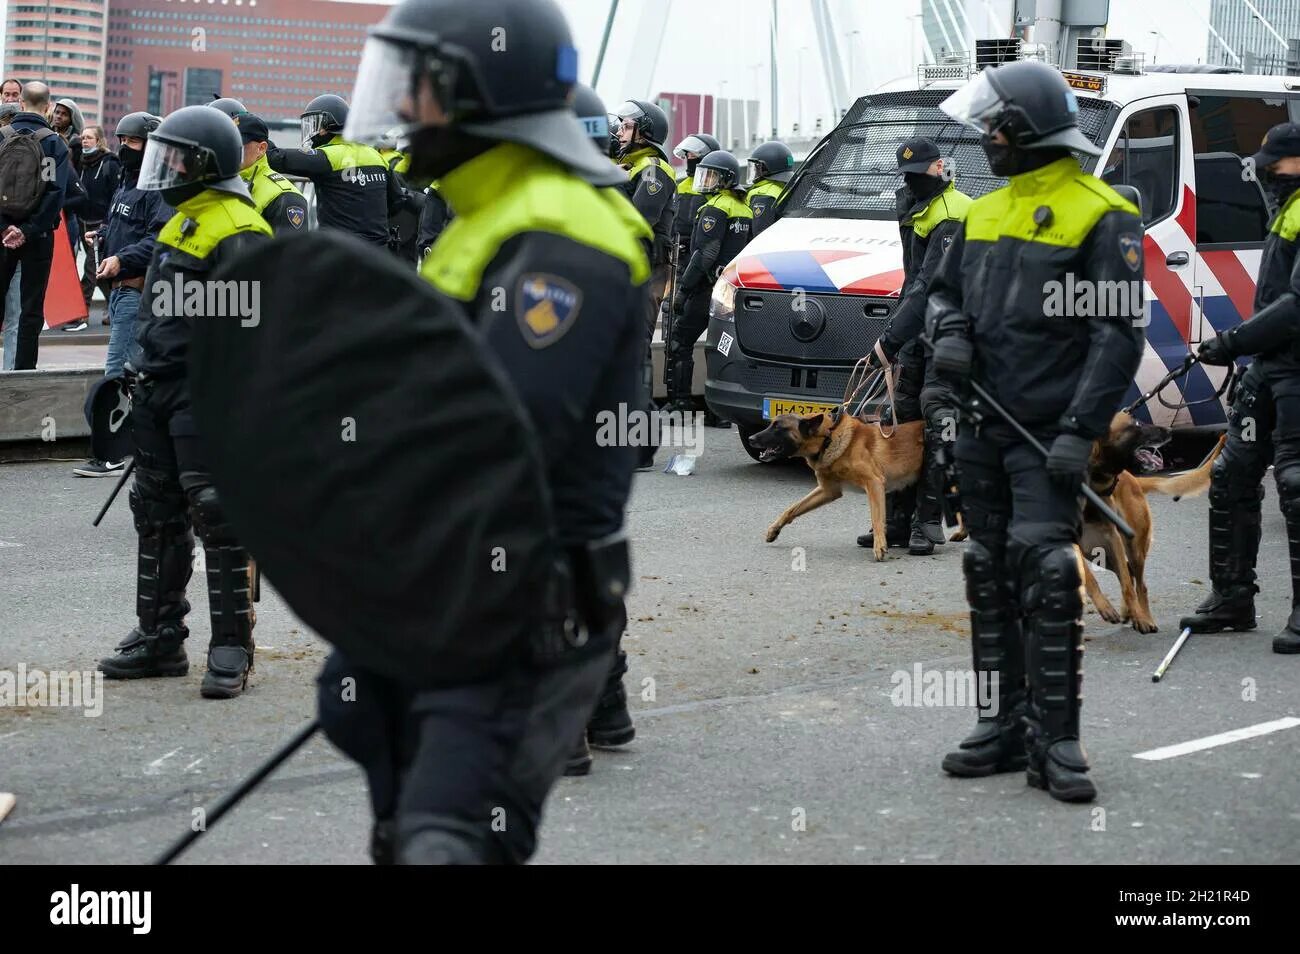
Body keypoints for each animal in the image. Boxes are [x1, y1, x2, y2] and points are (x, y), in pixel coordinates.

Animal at [748, 408, 930, 561]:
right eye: (771, 424)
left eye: (778, 428)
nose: (751, 439)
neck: (828, 437)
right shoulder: (828, 491)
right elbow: (792, 508)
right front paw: (774, 530)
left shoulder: (874, 483)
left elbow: (877, 519)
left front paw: (879, 546)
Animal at [1081, 413, 1222, 631]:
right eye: (1136, 424)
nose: (1170, 431)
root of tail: (1135, 480)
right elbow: (1090, 578)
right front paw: (1105, 607)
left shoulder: (1111, 536)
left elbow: (1128, 586)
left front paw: (1139, 617)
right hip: (1094, 549)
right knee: (1127, 573)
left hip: (1131, 547)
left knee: (1137, 582)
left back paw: (1143, 617)